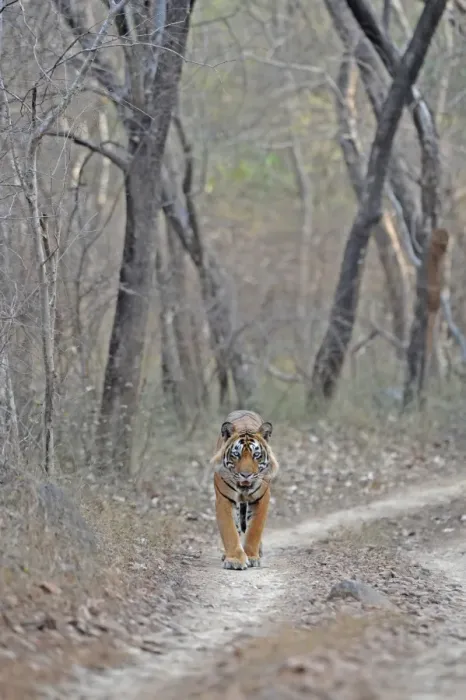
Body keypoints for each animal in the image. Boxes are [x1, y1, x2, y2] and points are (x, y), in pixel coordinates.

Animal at [210, 410, 279, 570]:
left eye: (256, 455)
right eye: (236, 454)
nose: (246, 475)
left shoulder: (262, 498)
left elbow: (255, 529)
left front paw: (252, 556)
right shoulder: (224, 499)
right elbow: (229, 530)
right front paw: (235, 560)